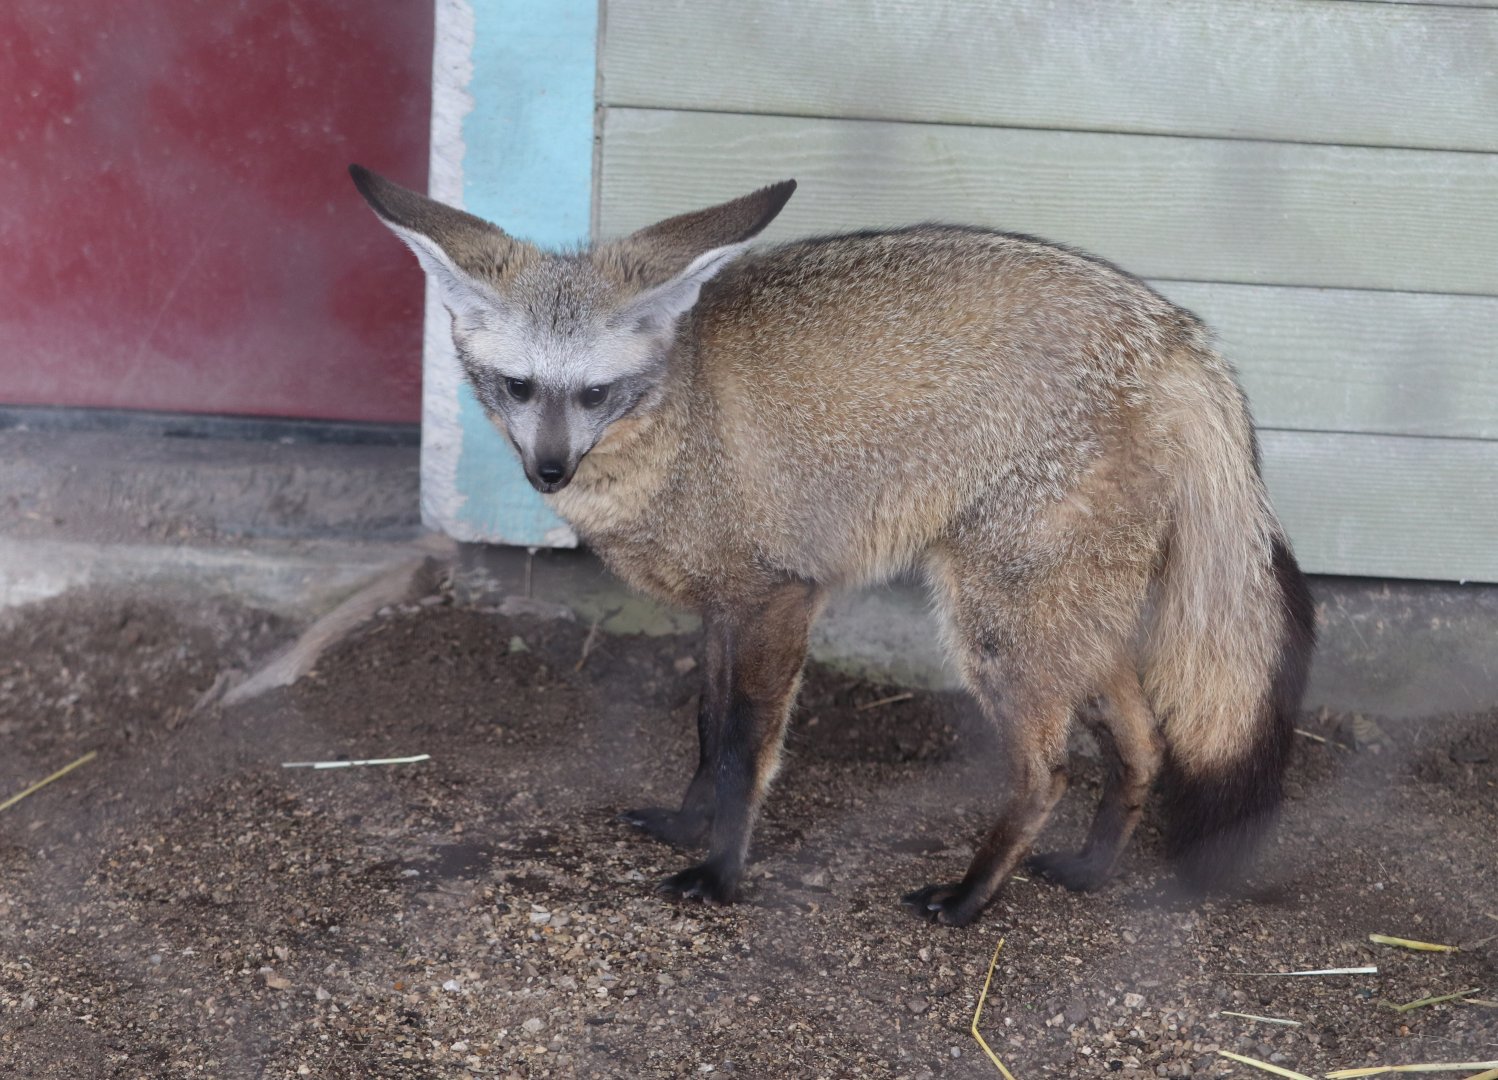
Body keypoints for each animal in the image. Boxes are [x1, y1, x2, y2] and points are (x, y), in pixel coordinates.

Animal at [350, 164, 1315, 927]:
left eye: (594, 393)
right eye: (518, 387)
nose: (549, 472)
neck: (680, 424)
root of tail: (1178, 331)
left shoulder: (781, 597)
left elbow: (746, 753)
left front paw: (721, 872)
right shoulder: (723, 609)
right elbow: (707, 732)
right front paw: (687, 824)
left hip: (1000, 628)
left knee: (1049, 773)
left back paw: (970, 898)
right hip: (1070, 625)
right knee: (1145, 747)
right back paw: (1089, 871)